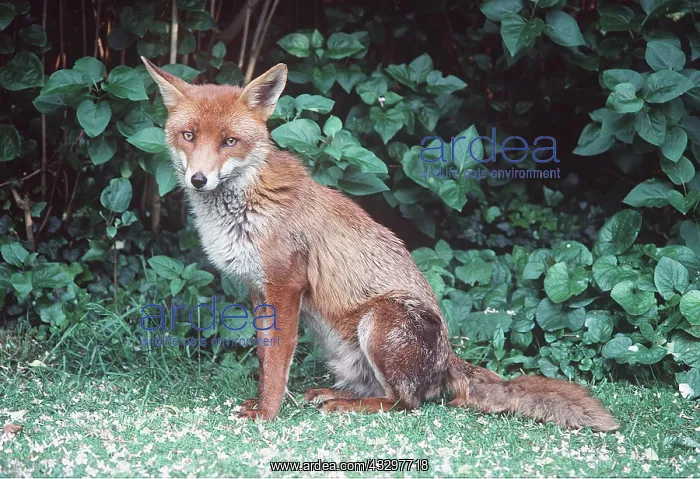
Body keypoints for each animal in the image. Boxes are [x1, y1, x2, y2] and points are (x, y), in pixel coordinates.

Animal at [141, 56, 620, 431]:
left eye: (230, 141)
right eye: (188, 135)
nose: (198, 179)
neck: (244, 206)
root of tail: (449, 358)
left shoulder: (286, 286)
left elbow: (276, 362)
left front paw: (269, 413)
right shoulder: (259, 290)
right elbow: (264, 358)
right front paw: (262, 402)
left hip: (381, 320)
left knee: (406, 403)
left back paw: (346, 406)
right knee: (380, 391)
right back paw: (332, 395)